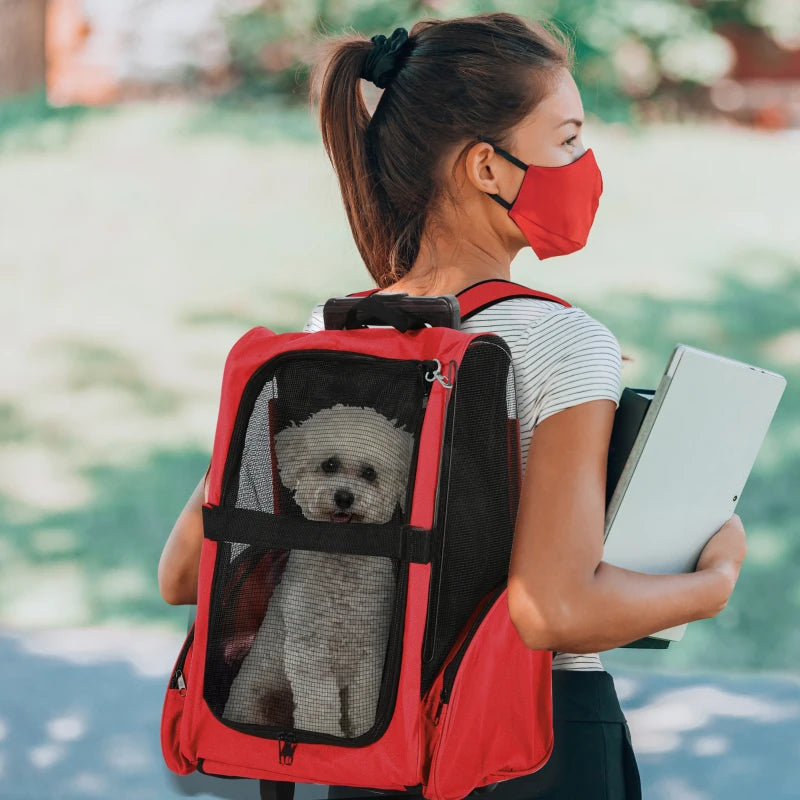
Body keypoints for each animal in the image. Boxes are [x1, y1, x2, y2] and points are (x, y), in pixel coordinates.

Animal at [222, 406, 416, 736]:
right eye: (329, 465)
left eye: (369, 473)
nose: (344, 497)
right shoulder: (311, 653)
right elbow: (320, 708)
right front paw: (325, 738)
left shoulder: (369, 653)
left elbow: (363, 707)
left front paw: (360, 735)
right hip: (257, 699)